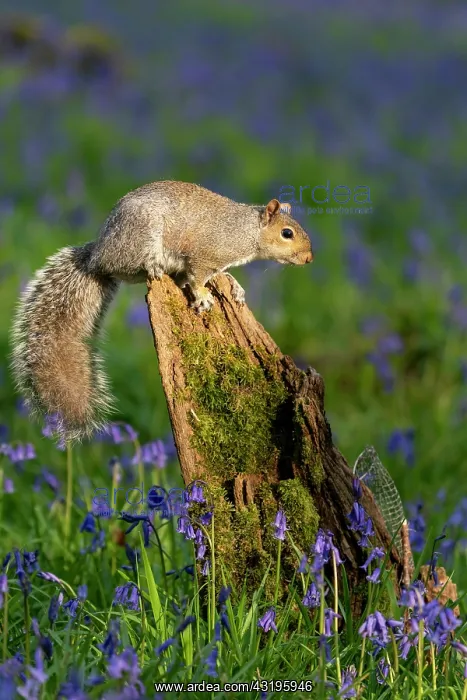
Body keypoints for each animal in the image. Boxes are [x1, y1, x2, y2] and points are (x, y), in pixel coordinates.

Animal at [10, 180, 313, 442]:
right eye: (287, 233)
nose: (309, 258)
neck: (245, 231)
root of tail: (97, 255)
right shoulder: (204, 255)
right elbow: (198, 276)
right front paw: (203, 296)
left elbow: (214, 275)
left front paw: (233, 284)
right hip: (140, 238)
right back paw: (151, 266)